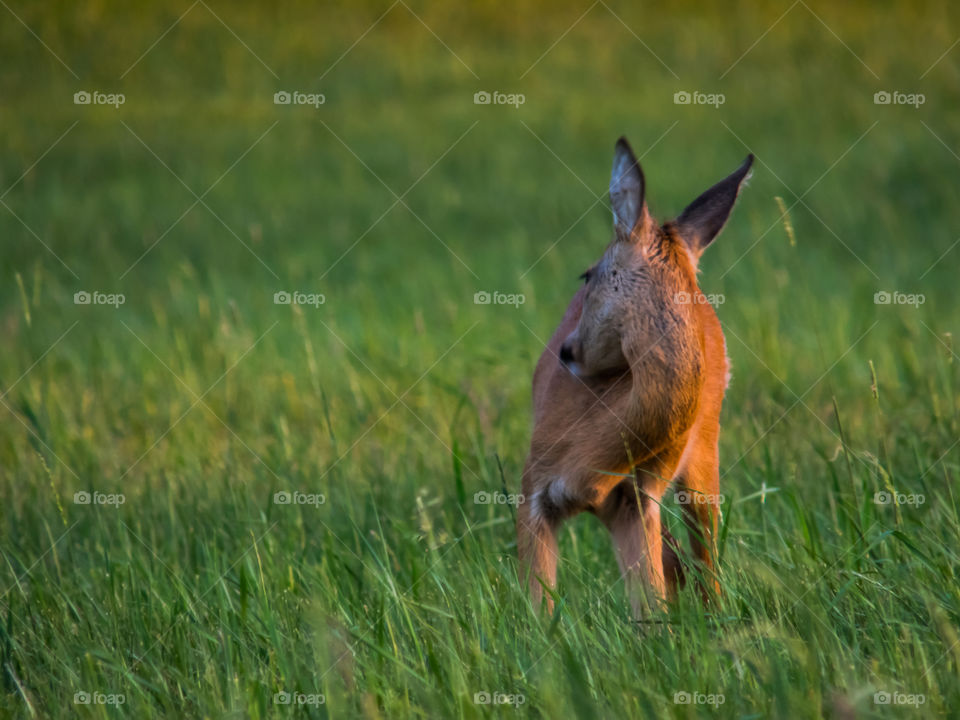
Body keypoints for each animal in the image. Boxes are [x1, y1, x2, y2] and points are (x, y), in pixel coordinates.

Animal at [516, 138, 752, 616]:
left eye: (588, 273)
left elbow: (651, 607)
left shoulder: (635, 498)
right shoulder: (533, 485)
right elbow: (536, 609)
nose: (567, 351)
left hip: (704, 453)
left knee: (705, 560)